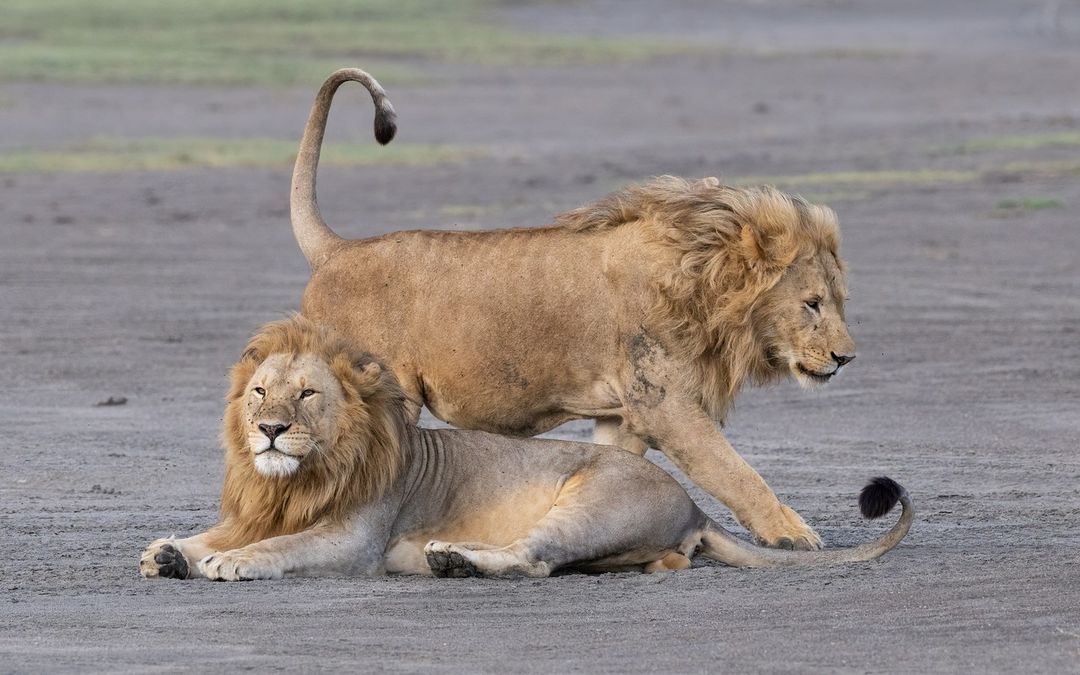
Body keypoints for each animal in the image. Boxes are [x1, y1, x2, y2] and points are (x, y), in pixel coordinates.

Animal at [137, 317, 911, 578]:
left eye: (305, 396)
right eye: (258, 392)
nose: (268, 429)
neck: (293, 477)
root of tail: (693, 507)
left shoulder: (355, 537)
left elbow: (279, 546)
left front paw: (229, 562)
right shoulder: (259, 507)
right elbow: (215, 532)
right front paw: (170, 551)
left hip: (591, 505)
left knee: (536, 560)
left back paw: (451, 560)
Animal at [287, 65, 859, 550]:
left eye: (838, 302)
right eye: (812, 304)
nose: (846, 358)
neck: (699, 274)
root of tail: (336, 249)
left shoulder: (623, 413)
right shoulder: (665, 404)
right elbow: (735, 471)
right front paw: (793, 533)